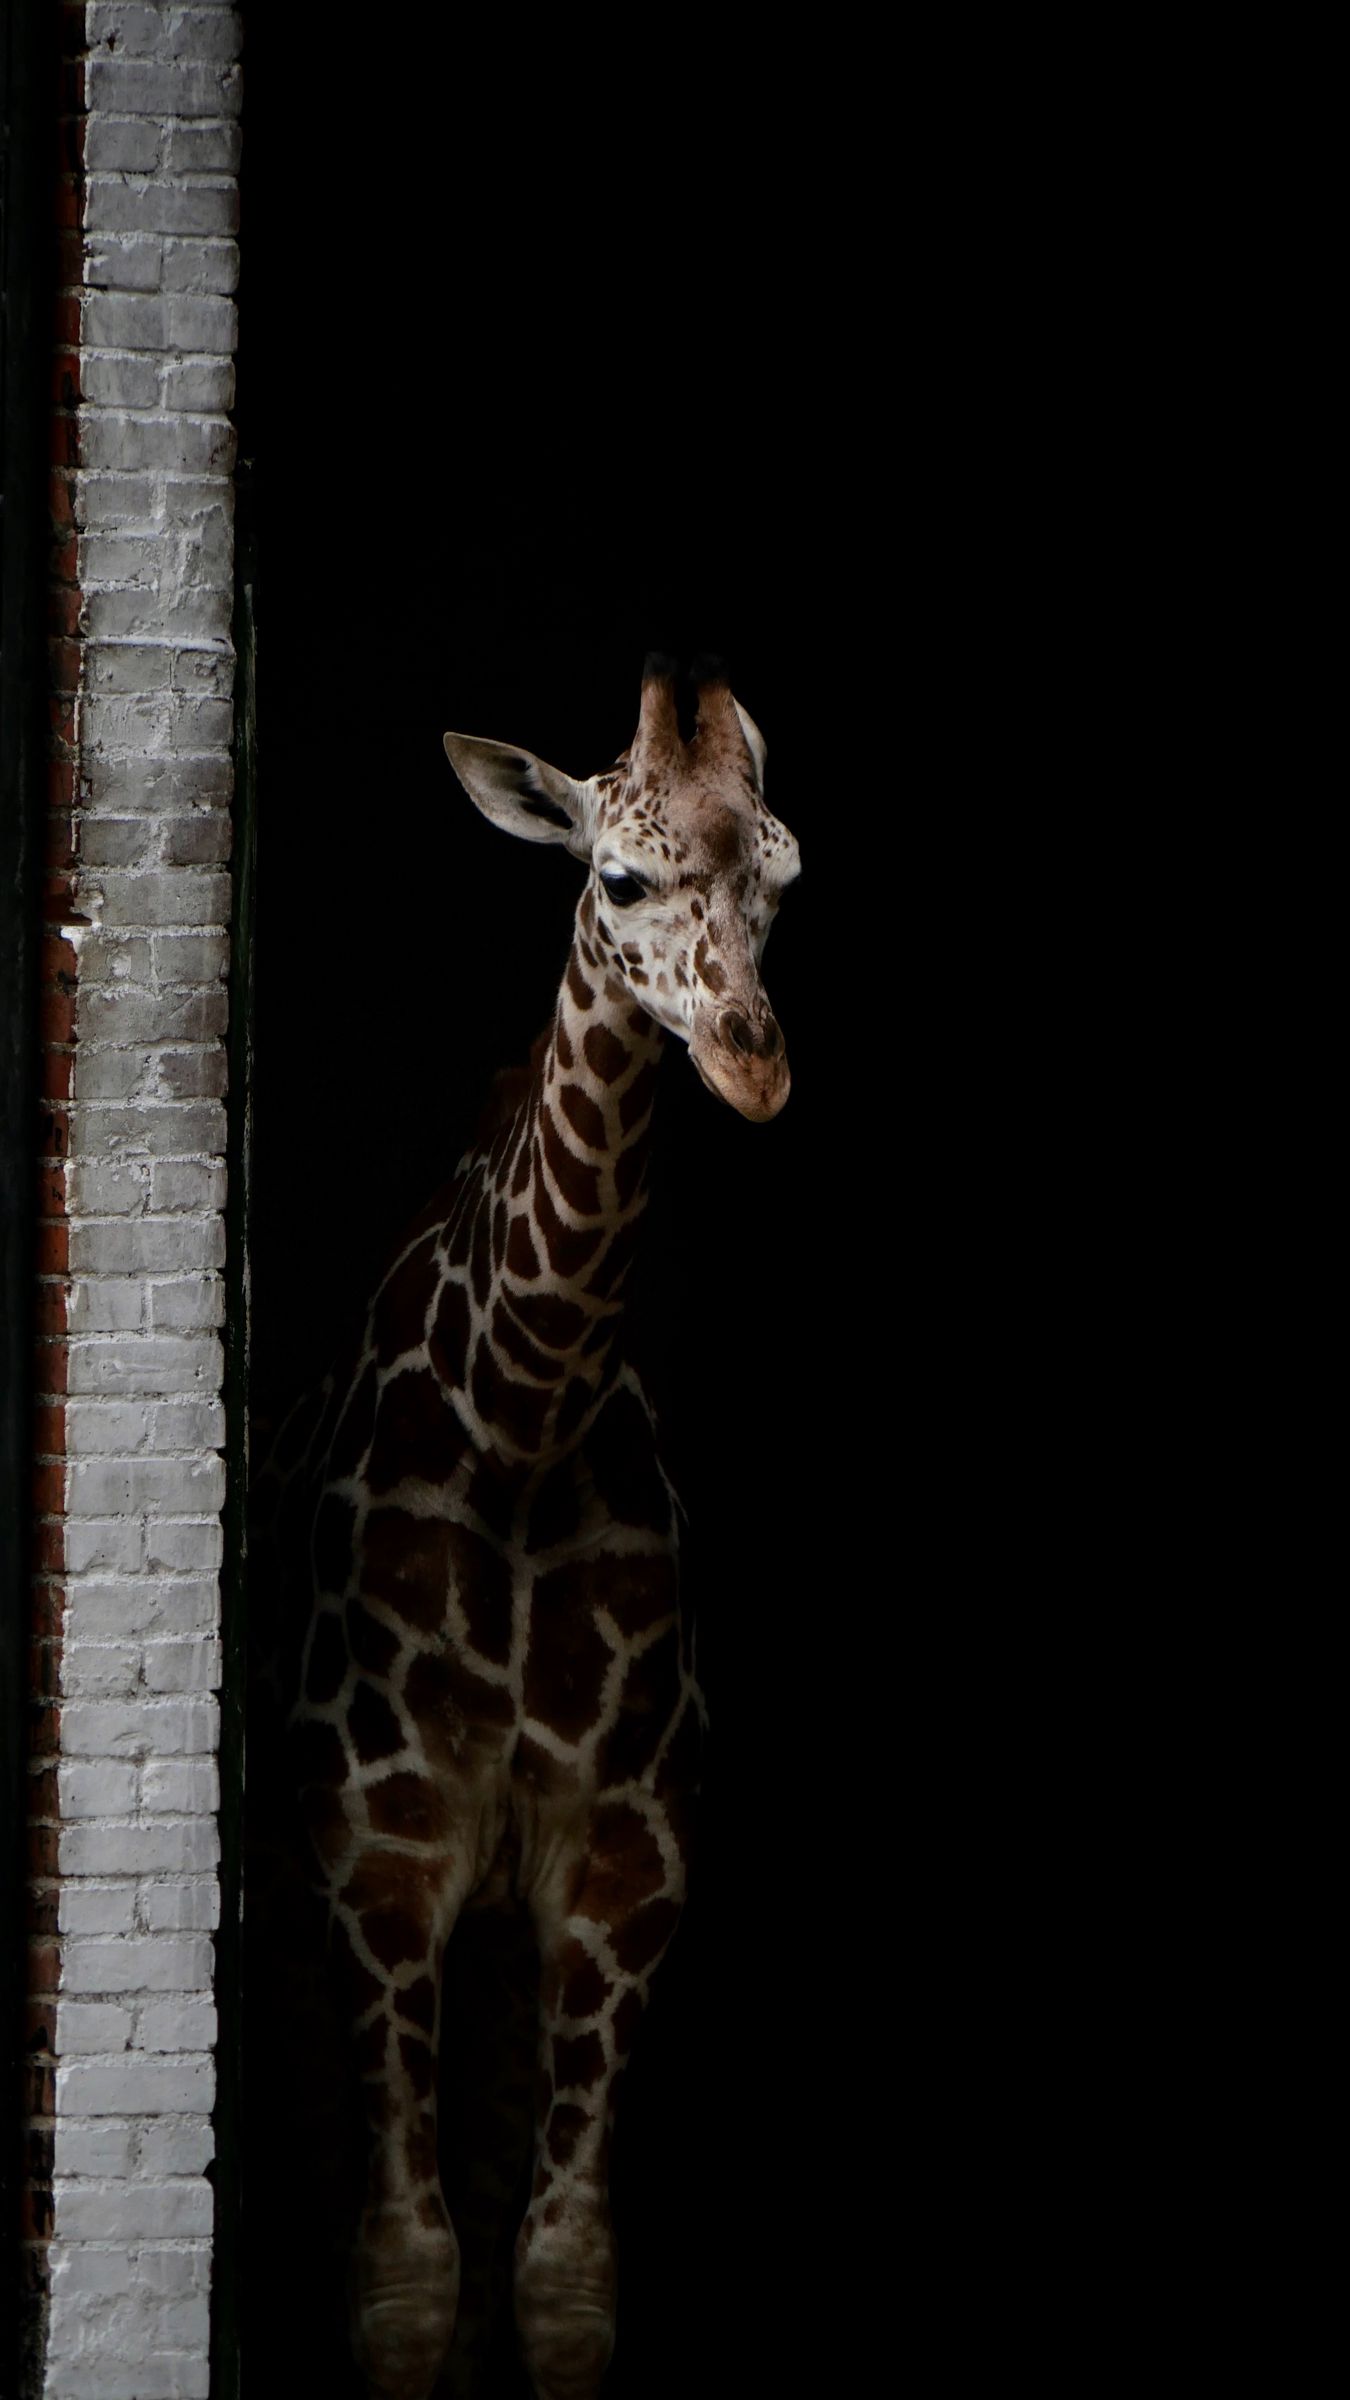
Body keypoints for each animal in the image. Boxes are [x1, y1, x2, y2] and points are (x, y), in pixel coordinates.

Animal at [268, 660, 800, 2400]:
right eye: (616, 879)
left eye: (785, 878)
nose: (752, 1064)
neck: (521, 1423)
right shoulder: (377, 1856)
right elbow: (405, 2277)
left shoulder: (626, 1863)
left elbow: (559, 2276)